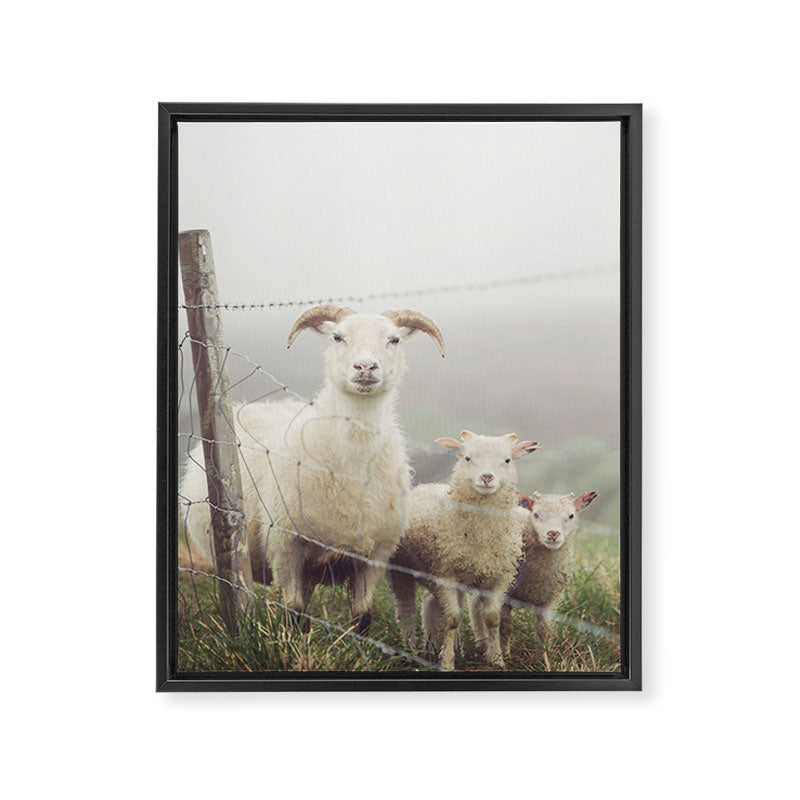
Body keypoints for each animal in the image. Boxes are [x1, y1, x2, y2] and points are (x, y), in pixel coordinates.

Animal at [180, 304, 446, 632]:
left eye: (394, 339)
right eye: (337, 336)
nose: (365, 367)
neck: (352, 464)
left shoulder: (376, 554)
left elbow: (362, 616)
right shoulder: (286, 546)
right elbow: (293, 611)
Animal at [388, 431, 538, 669]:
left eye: (507, 460)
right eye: (468, 458)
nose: (487, 477)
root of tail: (424, 486)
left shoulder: (498, 577)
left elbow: (492, 618)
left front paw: (496, 659)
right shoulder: (445, 575)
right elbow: (452, 618)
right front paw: (447, 663)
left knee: (429, 602)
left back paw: (435, 645)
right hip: (401, 567)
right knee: (405, 608)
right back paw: (409, 648)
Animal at [499, 491, 598, 656]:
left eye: (571, 515)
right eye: (536, 514)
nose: (553, 534)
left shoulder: (548, 601)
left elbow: (544, 631)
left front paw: (546, 655)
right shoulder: (504, 595)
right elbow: (505, 627)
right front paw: (503, 655)